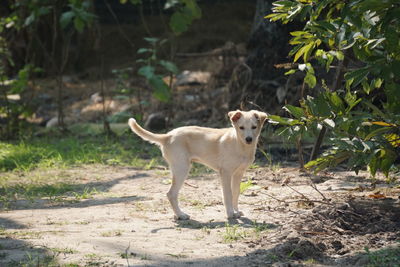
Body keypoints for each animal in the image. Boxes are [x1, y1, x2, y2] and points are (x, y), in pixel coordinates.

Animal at [128, 110, 268, 221]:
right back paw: (181, 215)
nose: (249, 139)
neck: (239, 144)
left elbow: (236, 193)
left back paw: (177, 215)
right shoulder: (226, 173)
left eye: (254, 127)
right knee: (171, 194)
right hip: (182, 169)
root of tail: (168, 136)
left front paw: (236, 211)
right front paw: (230, 213)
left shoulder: (239, 173)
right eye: (241, 127)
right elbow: (228, 194)